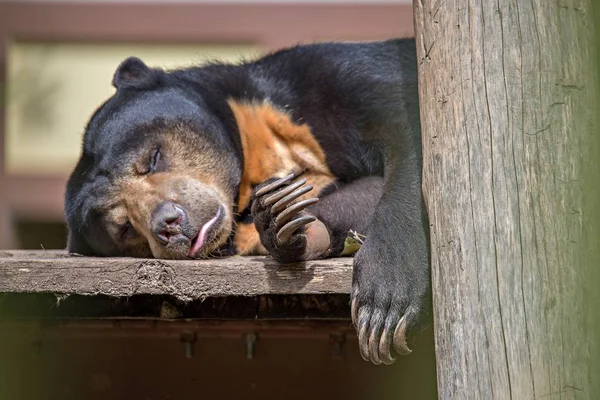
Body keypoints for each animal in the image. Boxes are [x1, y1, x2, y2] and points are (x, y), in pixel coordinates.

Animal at [64, 38, 432, 366]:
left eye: (151, 159)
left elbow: (408, 134)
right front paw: (283, 220)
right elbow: (359, 194)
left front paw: (383, 301)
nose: (168, 224)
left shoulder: (344, 74)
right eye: (125, 227)